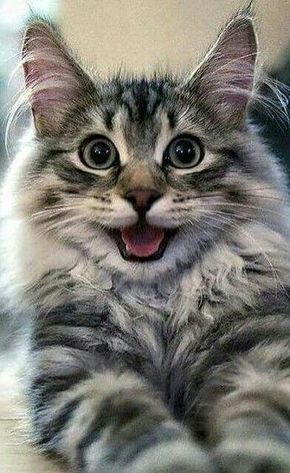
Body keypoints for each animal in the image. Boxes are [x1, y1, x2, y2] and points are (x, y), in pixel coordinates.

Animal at [0, 7, 290, 472]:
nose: (141, 196)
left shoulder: (262, 360)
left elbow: (259, 430)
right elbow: (143, 436)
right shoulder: (84, 373)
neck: (158, 299)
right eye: (98, 154)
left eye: (185, 154)